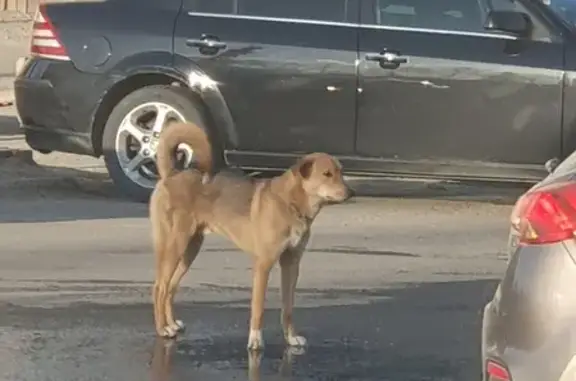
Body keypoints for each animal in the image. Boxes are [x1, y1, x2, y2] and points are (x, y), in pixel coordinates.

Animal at [150, 120, 352, 348]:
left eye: (341, 172)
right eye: (327, 174)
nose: (351, 192)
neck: (290, 204)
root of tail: (171, 174)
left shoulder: (291, 263)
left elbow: (288, 307)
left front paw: (290, 337)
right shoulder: (263, 265)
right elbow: (258, 308)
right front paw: (255, 340)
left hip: (190, 249)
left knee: (170, 288)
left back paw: (172, 324)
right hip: (175, 246)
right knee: (159, 288)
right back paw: (163, 328)